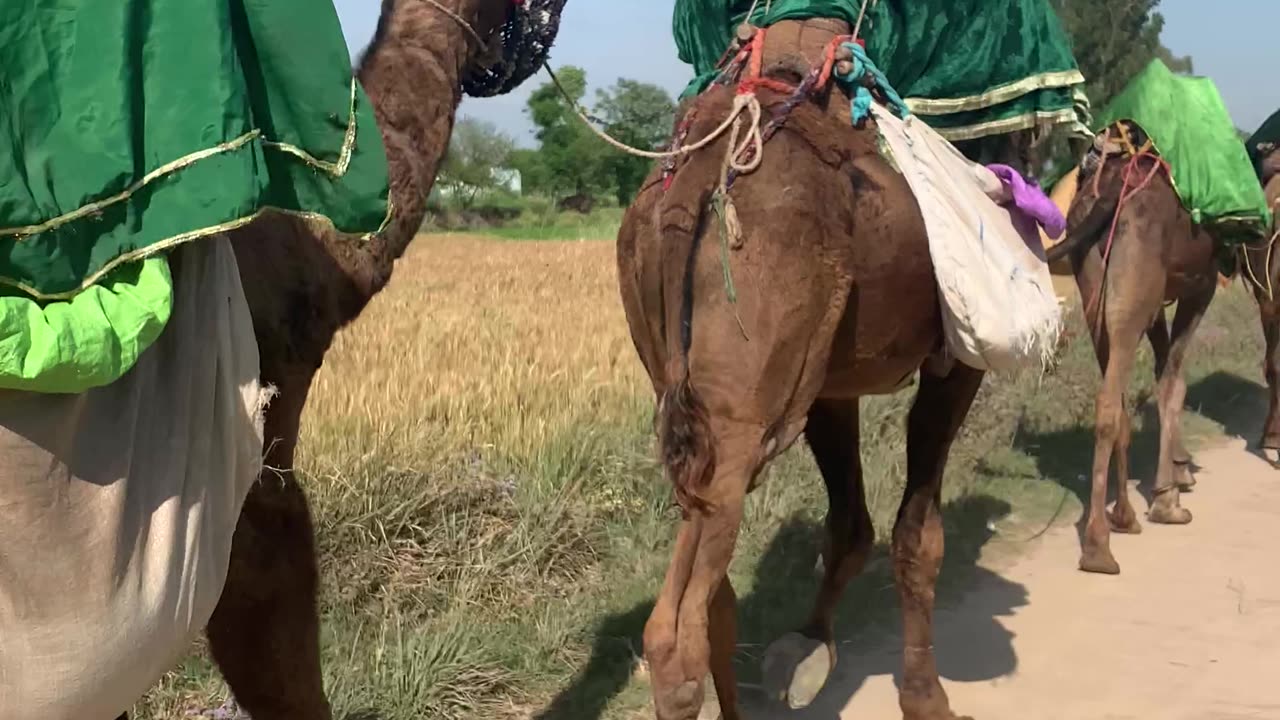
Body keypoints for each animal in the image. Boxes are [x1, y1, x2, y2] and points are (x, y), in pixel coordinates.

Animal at [619, 18, 988, 717]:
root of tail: (703, 168)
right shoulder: (958, 358)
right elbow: (917, 537)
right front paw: (925, 697)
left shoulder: (826, 385)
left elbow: (850, 528)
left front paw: (808, 650)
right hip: (742, 404)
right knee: (674, 637)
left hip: (679, 379)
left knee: (710, 593)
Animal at [1044, 120, 1213, 573]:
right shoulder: (1199, 285)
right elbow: (1173, 380)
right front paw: (1170, 496)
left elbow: (1162, 370)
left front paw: (1177, 475)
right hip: (1136, 274)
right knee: (1111, 399)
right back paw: (1099, 548)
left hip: (1096, 285)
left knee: (1114, 395)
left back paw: (1122, 516)